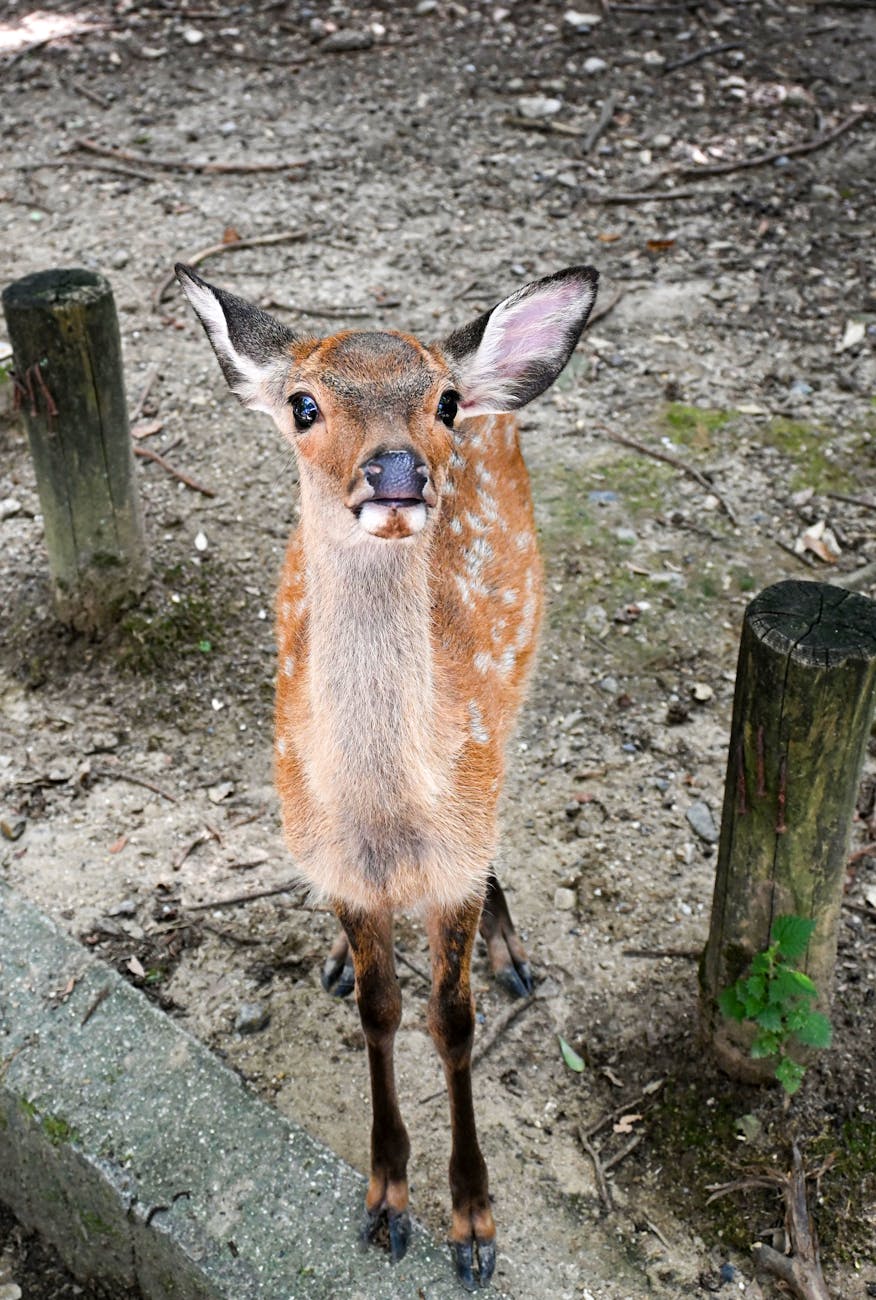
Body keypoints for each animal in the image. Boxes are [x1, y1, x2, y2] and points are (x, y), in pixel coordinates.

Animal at [176, 261, 598, 1290]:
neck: (388, 823)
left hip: (523, 680)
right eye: (303, 404)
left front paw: (474, 1224)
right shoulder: (336, 863)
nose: (400, 471)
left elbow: (452, 1021)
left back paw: (512, 953)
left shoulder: (454, 854)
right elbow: (380, 1011)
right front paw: (386, 1201)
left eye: (441, 402)